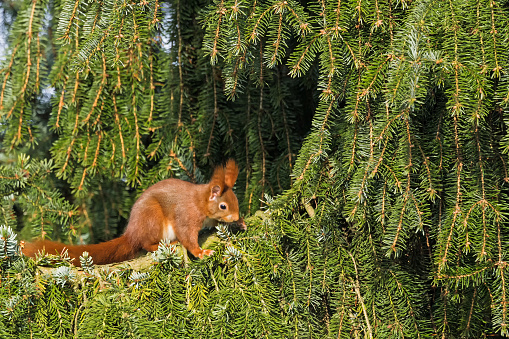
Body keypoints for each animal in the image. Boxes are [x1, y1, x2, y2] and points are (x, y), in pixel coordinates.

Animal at [21, 161, 240, 266]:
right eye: (223, 206)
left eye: (236, 200)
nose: (237, 216)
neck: (201, 203)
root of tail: (131, 234)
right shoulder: (187, 215)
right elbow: (188, 236)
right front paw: (200, 252)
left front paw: (239, 224)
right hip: (152, 219)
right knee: (145, 244)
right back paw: (163, 245)